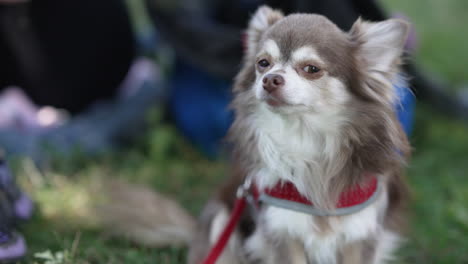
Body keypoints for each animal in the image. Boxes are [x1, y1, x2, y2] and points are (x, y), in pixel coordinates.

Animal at [99, 6, 410, 264]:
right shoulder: (282, 234)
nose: (270, 79)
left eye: (311, 69)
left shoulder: (361, 236)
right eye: (263, 63)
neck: (304, 136)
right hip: (221, 220)